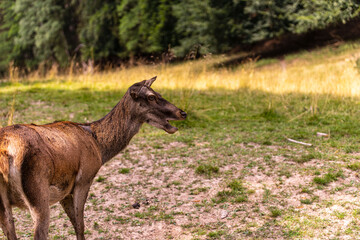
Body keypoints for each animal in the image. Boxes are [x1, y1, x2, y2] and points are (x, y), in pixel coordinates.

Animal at [0, 76, 187, 238]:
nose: (182, 113)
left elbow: (75, 223)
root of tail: (5, 151)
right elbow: (81, 225)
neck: (99, 146)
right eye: (151, 97)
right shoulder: (85, 178)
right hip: (38, 193)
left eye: (159, 93)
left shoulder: (64, 192)